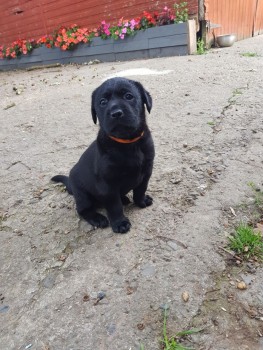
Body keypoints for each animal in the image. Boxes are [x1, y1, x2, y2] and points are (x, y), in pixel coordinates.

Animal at [51, 78, 155, 234]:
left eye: (128, 96)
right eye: (103, 102)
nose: (116, 113)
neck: (127, 143)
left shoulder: (146, 171)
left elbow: (140, 189)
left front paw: (141, 201)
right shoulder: (107, 184)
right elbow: (114, 205)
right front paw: (120, 223)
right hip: (83, 196)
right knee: (82, 210)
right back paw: (97, 218)